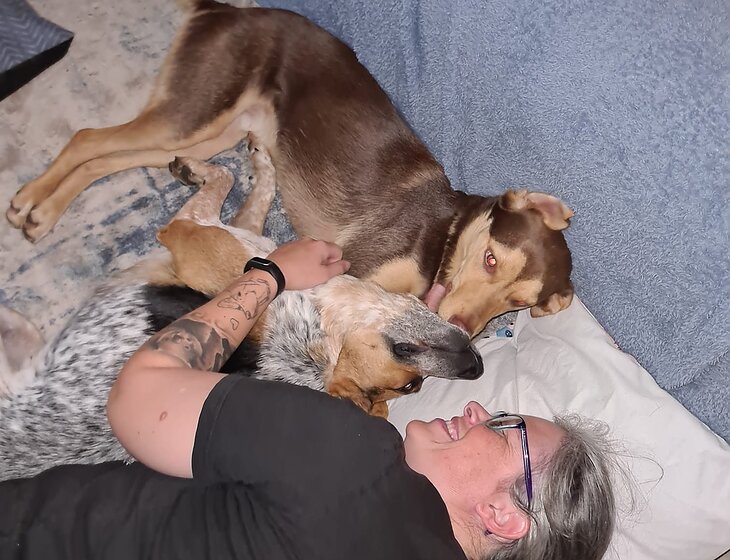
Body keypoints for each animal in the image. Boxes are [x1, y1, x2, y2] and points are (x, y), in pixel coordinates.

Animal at [0, 151, 483, 481]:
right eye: (407, 365)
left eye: (412, 387)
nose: (476, 367)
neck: (315, 326)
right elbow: (248, 190)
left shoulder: (191, 228)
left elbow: (231, 180)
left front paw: (225, 164)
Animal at [6, 2, 574, 337]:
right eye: (491, 260)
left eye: (515, 304)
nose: (458, 324)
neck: (447, 236)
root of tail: (227, 7)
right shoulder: (353, 271)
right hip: (193, 112)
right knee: (88, 138)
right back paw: (32, 205)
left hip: (213, 131)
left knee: (108, 156)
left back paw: (45, 208)